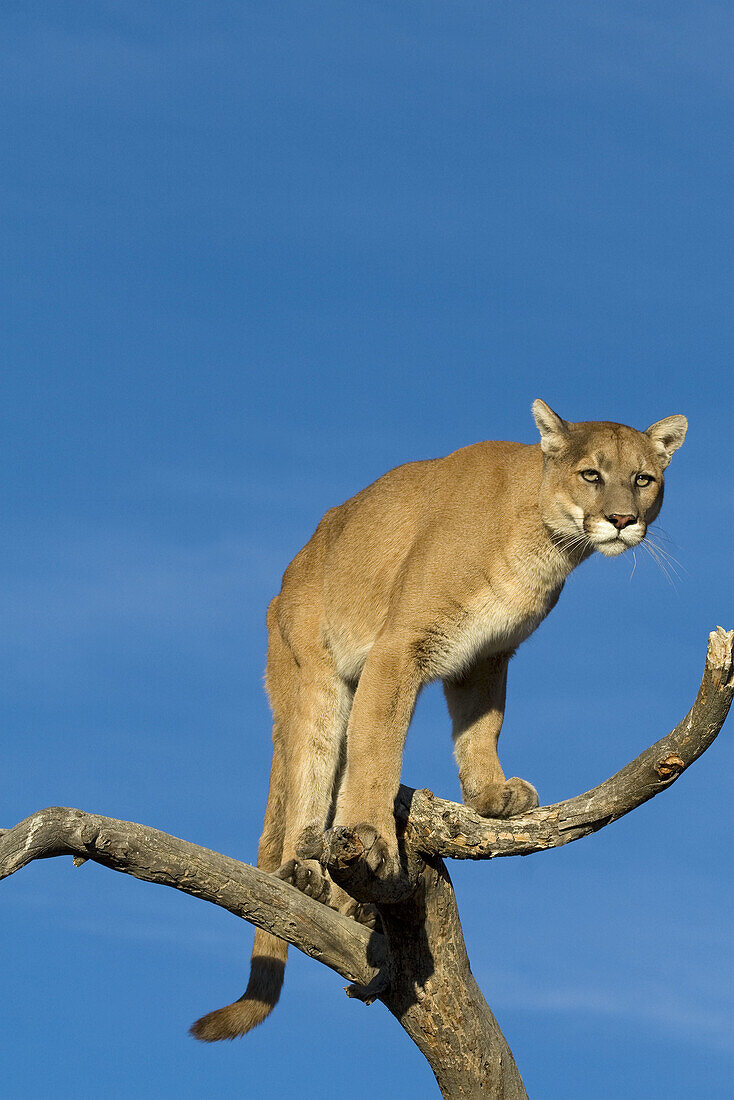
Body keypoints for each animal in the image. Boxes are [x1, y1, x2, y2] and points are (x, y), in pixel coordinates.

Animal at [191, 398, 691, 1038]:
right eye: (591, 475)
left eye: (643, 479)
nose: (624, 519)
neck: (545, 540)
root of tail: (284, 583)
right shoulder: (397, 648)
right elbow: (378, 747)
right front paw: (375, 838)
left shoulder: (486, 655)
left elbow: (482, 730)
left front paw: (492, 798)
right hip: (317, 680)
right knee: (312, 774)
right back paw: (308, 873)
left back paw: (350, 901)